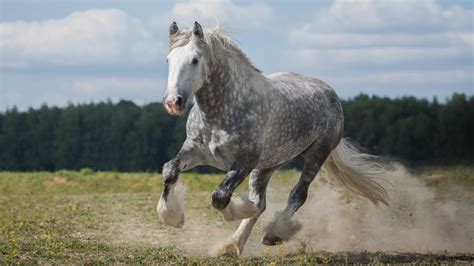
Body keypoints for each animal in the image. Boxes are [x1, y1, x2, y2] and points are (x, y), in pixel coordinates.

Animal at [157, 21, 386, 256]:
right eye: (168, 60)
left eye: (195, 59)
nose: (173, 102)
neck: (223, 110)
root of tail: (330, 92)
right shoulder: (195, 151)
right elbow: (170, 170)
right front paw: (173, 217)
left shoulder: (244, 162)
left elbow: (220, 196)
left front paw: (239, 208)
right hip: (268, 165)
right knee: (262, 202)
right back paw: (231, 245)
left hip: (316, 154)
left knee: (297, 195)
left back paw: (273, 234)